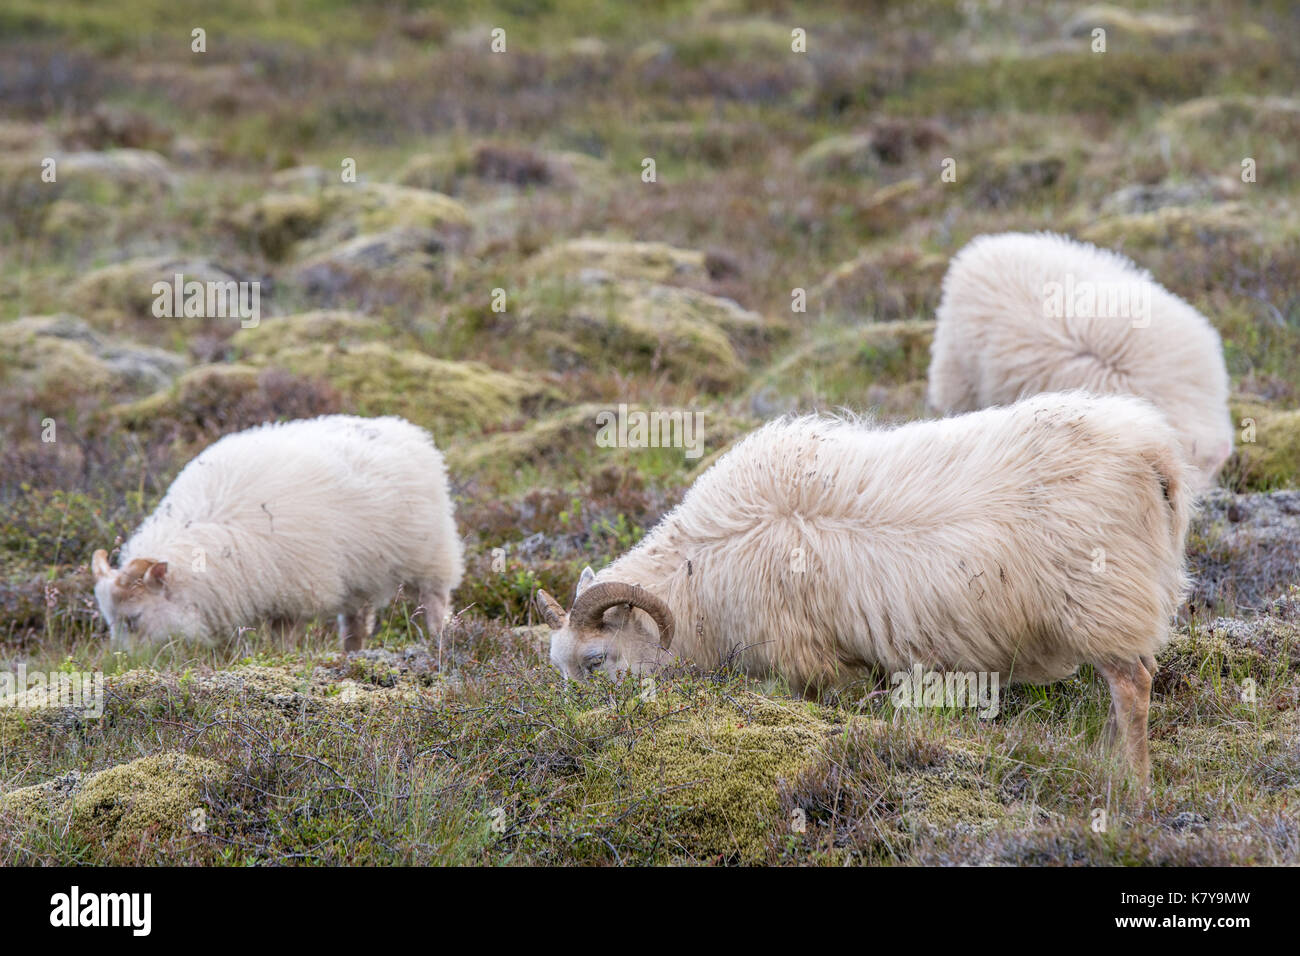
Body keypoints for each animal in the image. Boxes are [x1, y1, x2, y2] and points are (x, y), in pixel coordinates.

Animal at [89, 413, 462, 650]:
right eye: (110, 622)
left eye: (134, 619)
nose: (122, 662)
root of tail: (405, 429)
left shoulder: (294, 591)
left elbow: (283, 640)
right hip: (359, 573)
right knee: (356, 622)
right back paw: (352, 654)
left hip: (430, 555)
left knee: (435, 601)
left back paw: (439, 642)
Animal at [540, 392, 1196, 780]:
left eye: (596, 660)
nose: (578, 733)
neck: (698, 574)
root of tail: (1155, 456)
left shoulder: (810, 662)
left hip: (1102, 597)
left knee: (1133, 686)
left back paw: (1133, 786)